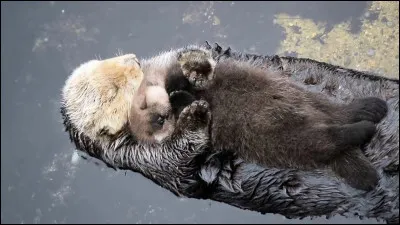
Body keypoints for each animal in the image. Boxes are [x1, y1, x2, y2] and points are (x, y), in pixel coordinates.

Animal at [128, 48, 388, 192]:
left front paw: (193, 69)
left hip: (300, 96)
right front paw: (182, 99)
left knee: (336, 111)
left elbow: (183, 78)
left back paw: (370, 108)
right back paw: (365, 130)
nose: (161, 114)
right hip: (285, 139)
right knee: (328, 139)